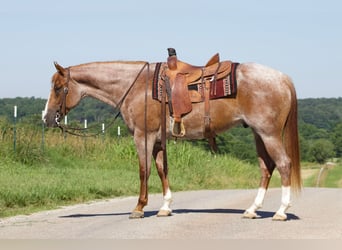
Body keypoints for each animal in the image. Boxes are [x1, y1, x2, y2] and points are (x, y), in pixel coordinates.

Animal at [43, 50, 302, 221]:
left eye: (58, 88)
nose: (47, 117)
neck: (137, 86)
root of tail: (282, 78)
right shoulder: (158, 139)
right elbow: (161, 169)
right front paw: (165, 207)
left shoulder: (143, 136)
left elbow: (144, 170)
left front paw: (139, 207)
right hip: (259, 135)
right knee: (266, 168)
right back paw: (252, 210)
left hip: (269, 134)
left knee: (284, 164)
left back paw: (281, 211)